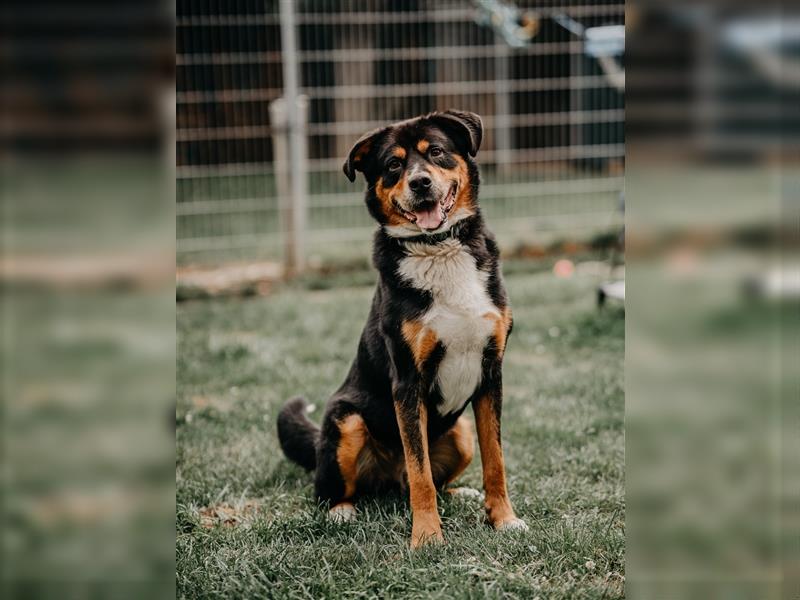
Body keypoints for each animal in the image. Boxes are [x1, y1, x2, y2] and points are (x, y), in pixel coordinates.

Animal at [278, 109, 528, 548]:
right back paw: (342, 512)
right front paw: (427, 537)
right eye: (393, 165)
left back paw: (460, 492)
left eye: (437, 152)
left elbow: (495, 460)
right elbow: (420, 471)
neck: (438, 249)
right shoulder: (408, 381)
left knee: (427, 477)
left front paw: (503, 519)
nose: (420, 182)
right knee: (333, 489)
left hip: (461, 432)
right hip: (346, 421)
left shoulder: (491, 372)